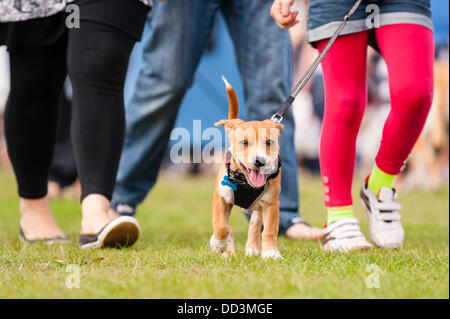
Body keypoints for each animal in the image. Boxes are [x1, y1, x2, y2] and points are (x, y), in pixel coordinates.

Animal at [210, 78, 282, 260]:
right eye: (244, 142)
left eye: (269, 142)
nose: (259, 161)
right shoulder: (220, 198)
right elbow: (221, 226)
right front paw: (218, 243)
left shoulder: (271, 203)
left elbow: (270, 229)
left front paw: (271, 253)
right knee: (228, 227)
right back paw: (227, 250)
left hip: (259, 206)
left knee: (255, 224)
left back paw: (252, 249)